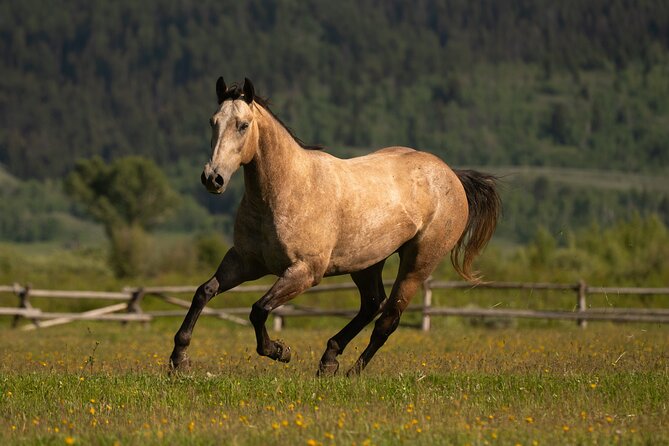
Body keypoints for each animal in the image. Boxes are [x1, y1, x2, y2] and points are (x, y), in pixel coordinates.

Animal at [169, 77, 501, 376]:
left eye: (243, 125)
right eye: (213, 122)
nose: (213, 178)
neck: (287, 189)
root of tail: (451, 175)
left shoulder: (304, 272)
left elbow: (258, 309)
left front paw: (279, 351)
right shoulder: (245, 261)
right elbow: (204, 292)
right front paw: (179, 360)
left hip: (418, 263)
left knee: (388, 318)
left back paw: (352, 372)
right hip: (367, 262)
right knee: (372, 304)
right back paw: (329, 360)